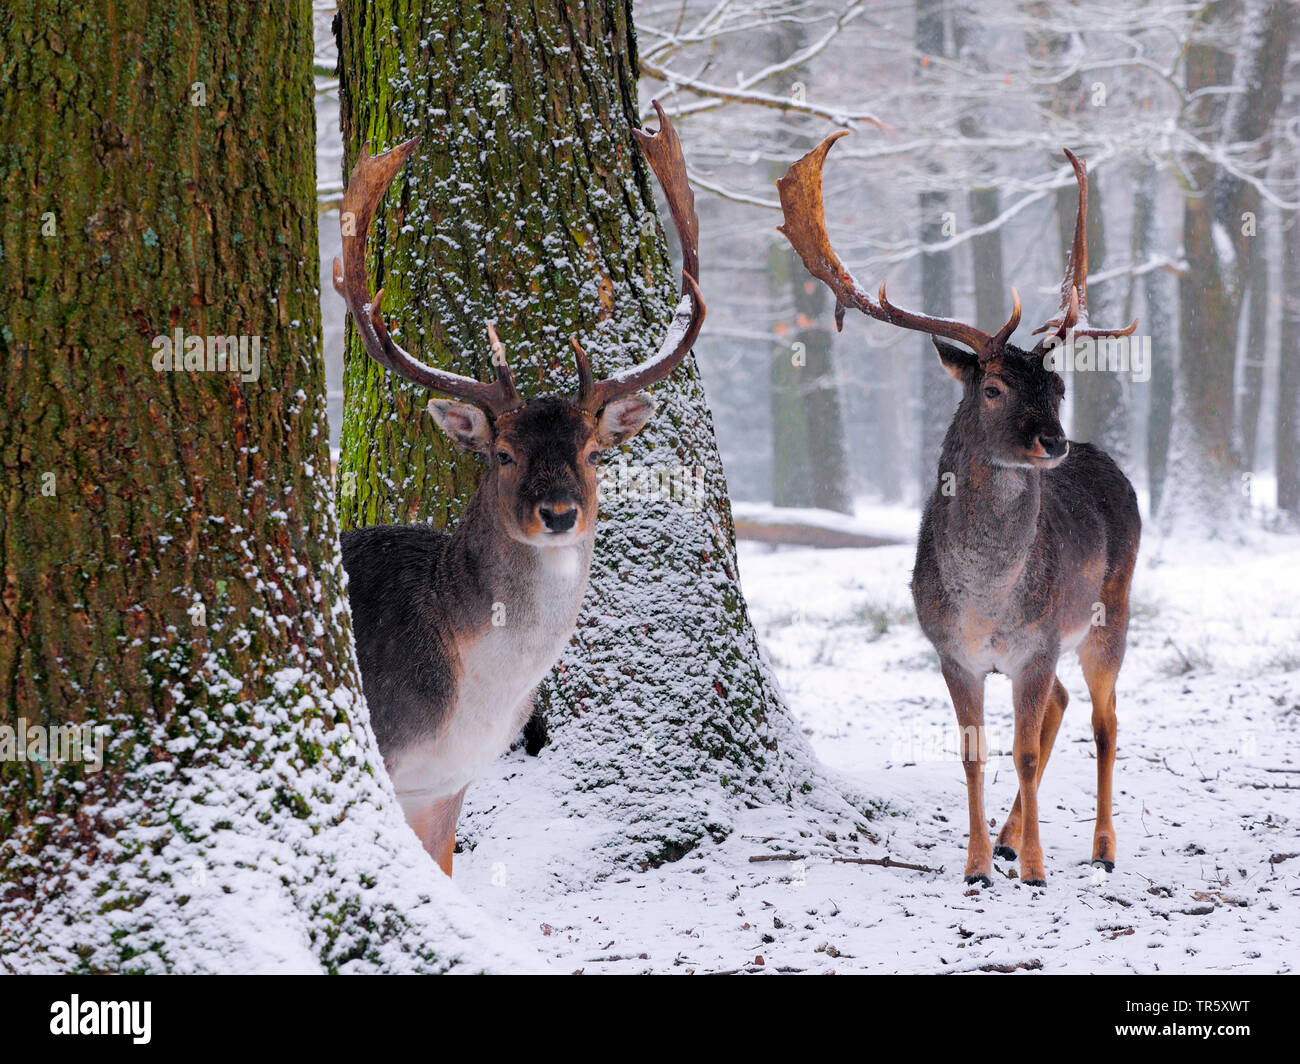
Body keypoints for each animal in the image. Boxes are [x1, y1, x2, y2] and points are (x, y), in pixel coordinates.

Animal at [780, 132, 1138, 884]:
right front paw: (977, 863)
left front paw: (1034, 869)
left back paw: (1101, 848)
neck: (985, 602)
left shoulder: (1035, 645)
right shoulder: (951, 651)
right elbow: (974, 754)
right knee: (1066, 706)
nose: (1053, 441)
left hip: (1109, 610)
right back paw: (1006, 837)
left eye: (1058, 385)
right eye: (994, 386)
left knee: (1105, 719)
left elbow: (1023, 752)